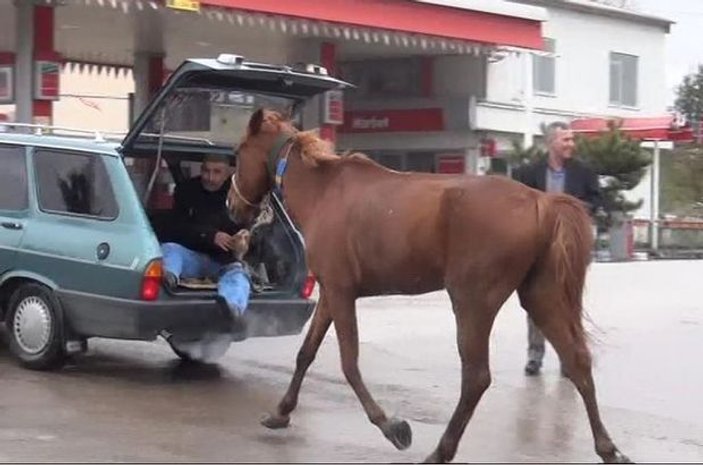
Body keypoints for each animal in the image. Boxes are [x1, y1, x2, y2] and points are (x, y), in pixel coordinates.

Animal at [230, 107, 632, 462]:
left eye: (237, 154)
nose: (233, 205)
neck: (322, 191)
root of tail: (542, 201)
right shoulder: (331, 292)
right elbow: (306, 353)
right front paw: (280, 413)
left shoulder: (342, 292)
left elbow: (349, 363)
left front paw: (391, 426)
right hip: (540, 295)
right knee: (577, 361)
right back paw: (608, 448)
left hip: (472, 301)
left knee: (476, 377)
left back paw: (442, 450)